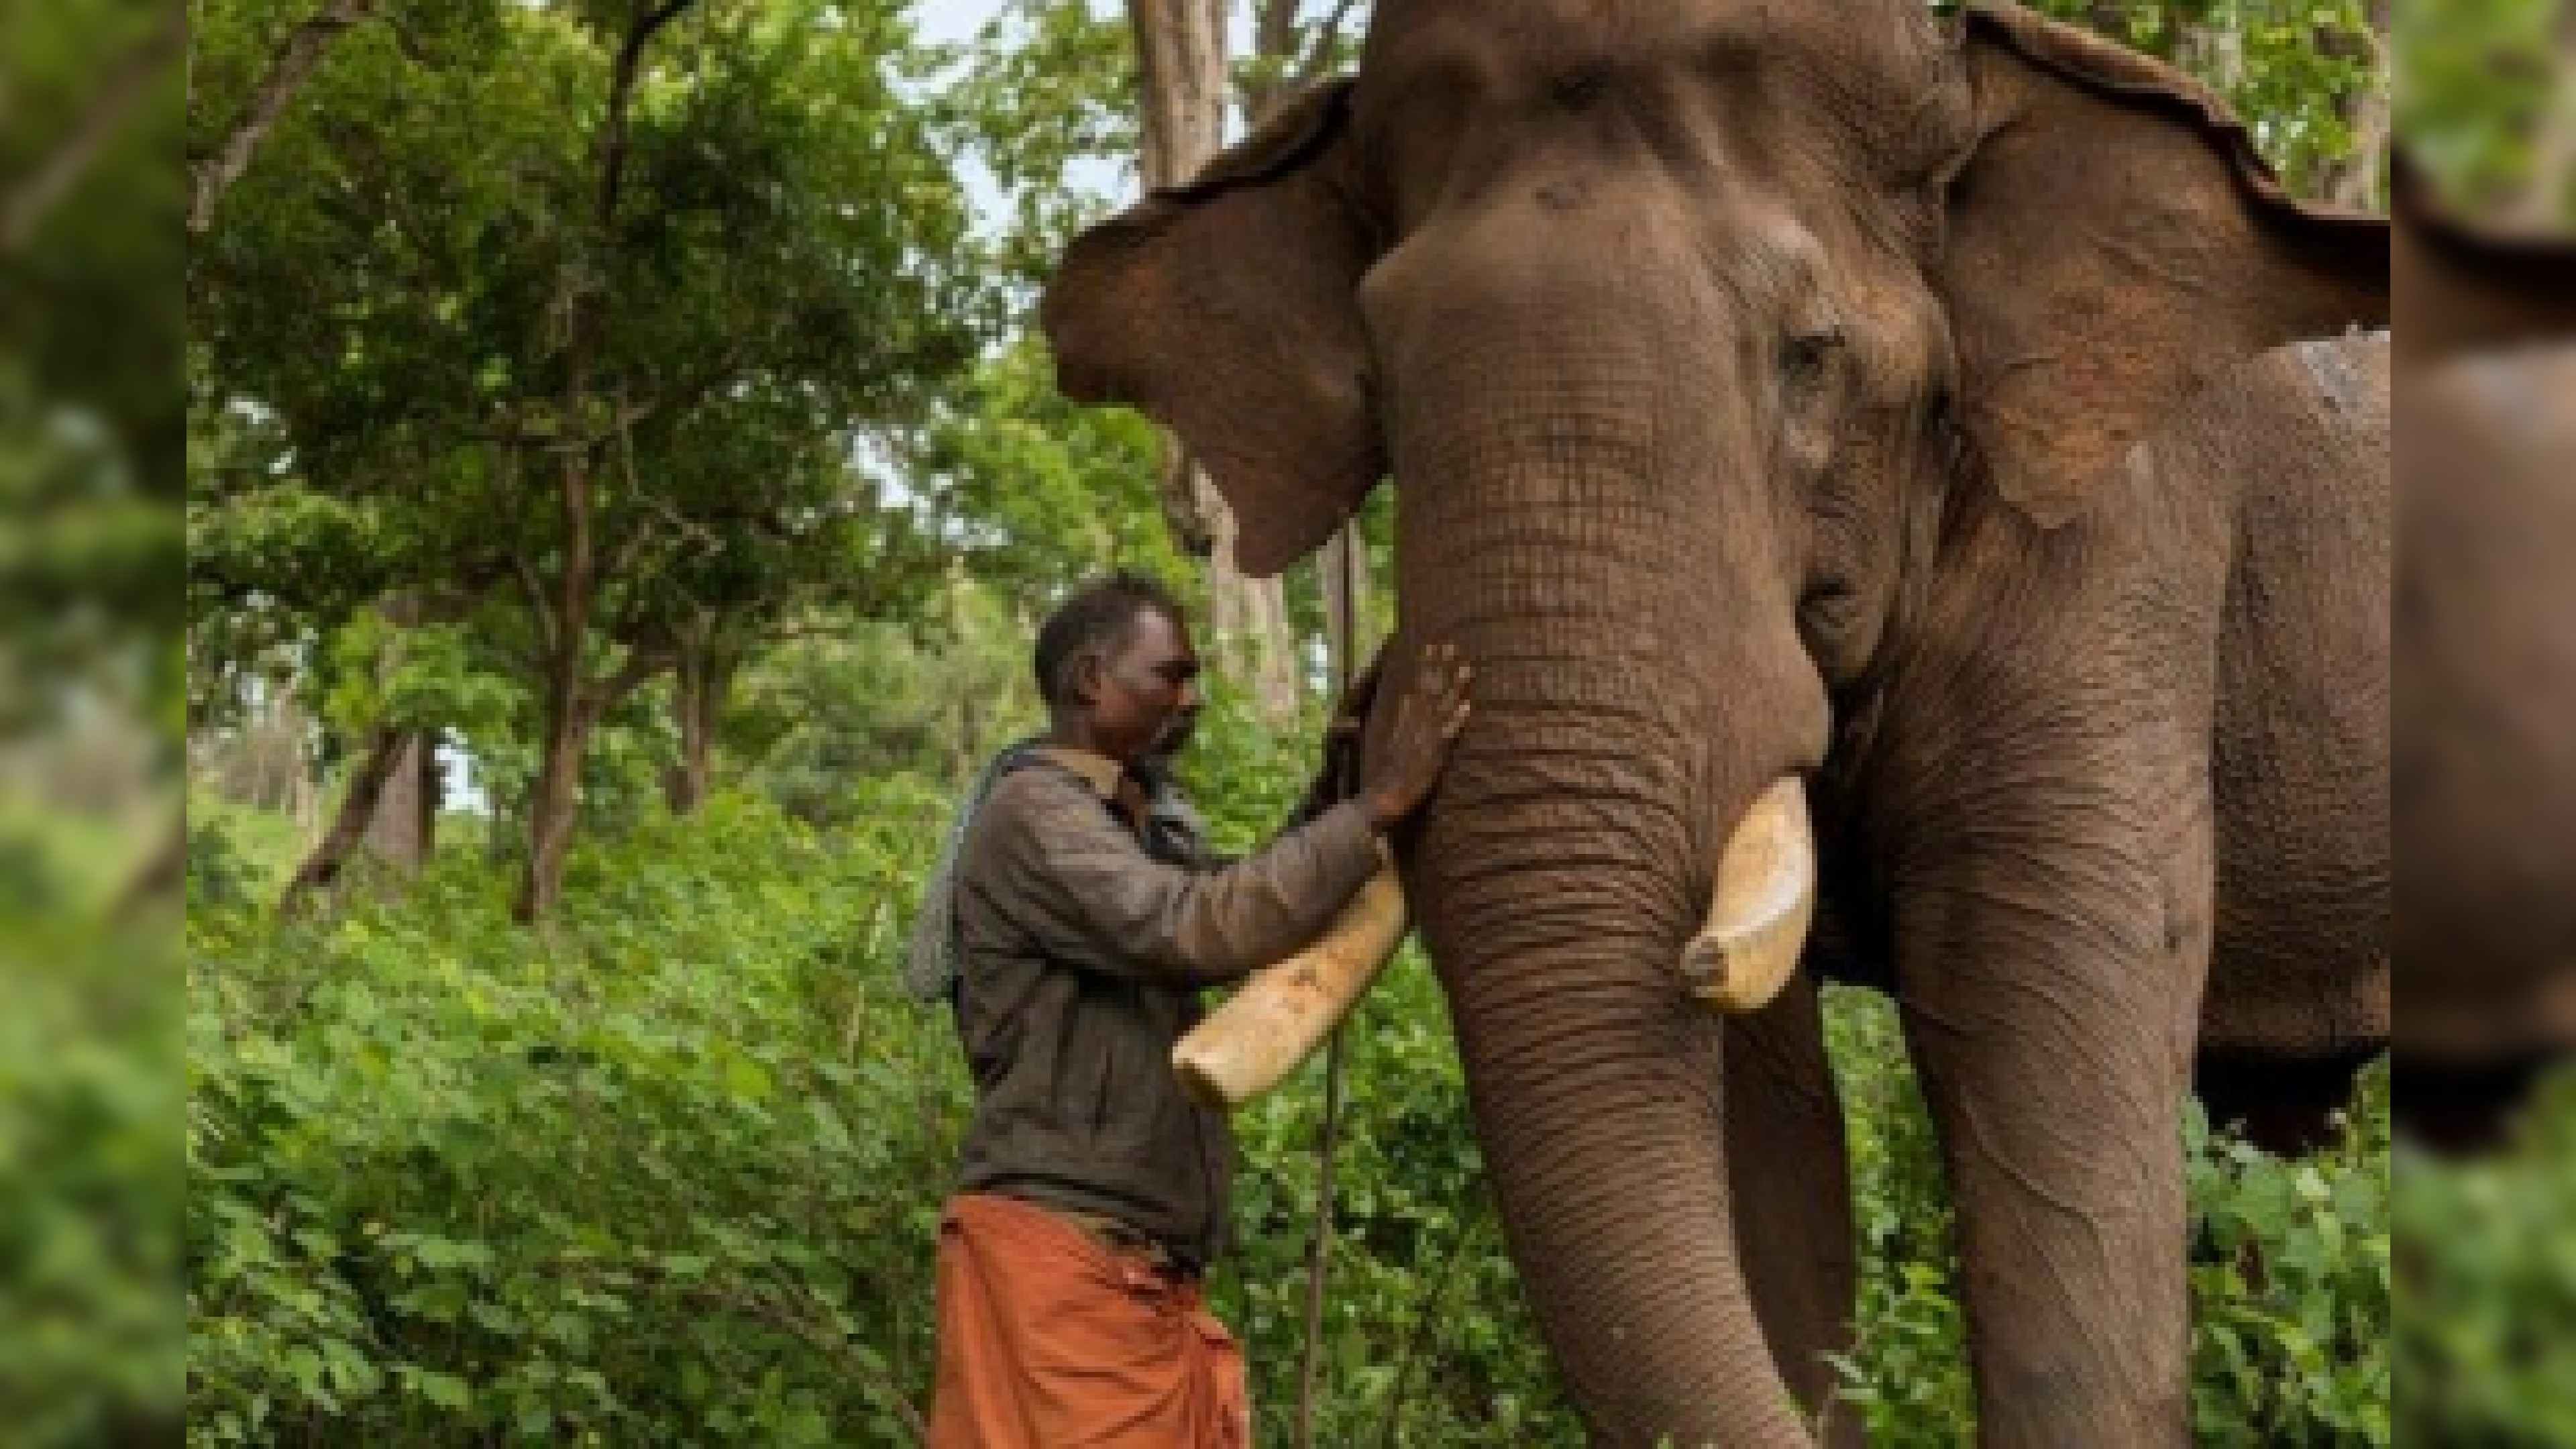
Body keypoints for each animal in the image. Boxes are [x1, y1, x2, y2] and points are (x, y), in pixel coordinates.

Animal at [1042, 2, 2389, 1443]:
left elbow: (2039, 1053)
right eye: (1380, 386)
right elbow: (1755, 1112)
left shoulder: (2117, 552)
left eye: (1810, 358)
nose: (1380, 726)